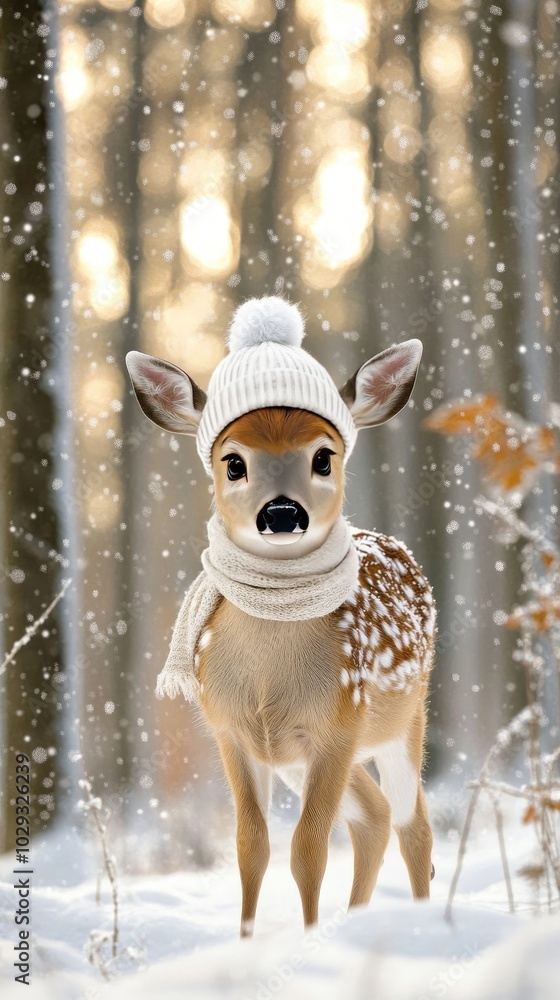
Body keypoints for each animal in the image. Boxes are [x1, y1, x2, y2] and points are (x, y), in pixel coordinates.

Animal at [126, 296, 434, 936]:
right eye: (233, 463)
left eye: (323, 456)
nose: (283, 512)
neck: (269, 681)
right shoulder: (232, 731)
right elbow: (252, 845)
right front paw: (248, 940)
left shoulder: (338, 725)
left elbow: (308, 847)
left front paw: (308, 938)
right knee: (374, 816)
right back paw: (357, 922)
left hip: (405, 716)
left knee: (412, 823)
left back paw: (421, 923)